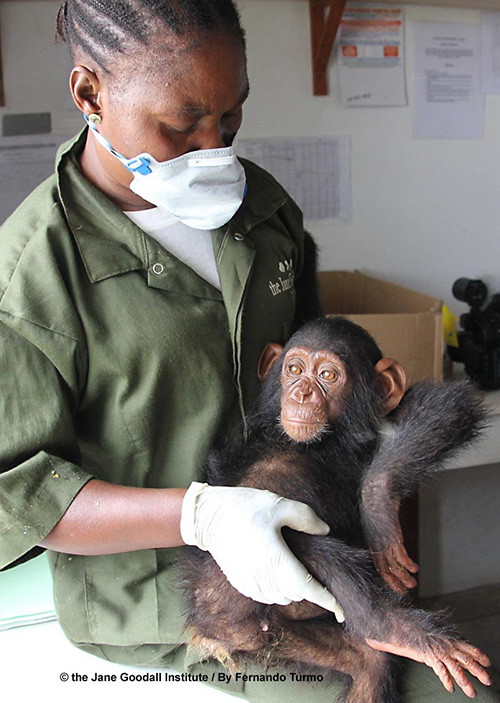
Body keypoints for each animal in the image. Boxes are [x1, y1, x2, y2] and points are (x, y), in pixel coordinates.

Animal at [179, 318, 488, 703]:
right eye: (295, 370)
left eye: (327, 375)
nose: (302, 394)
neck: (323, 444)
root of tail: (212, 636)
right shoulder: (273, 472)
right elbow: (242, 551)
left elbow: (446, 404)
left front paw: (378, 505)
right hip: (238, 627)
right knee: (289, 548)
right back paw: (394, 630)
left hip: (283, 641)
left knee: (370, 665)